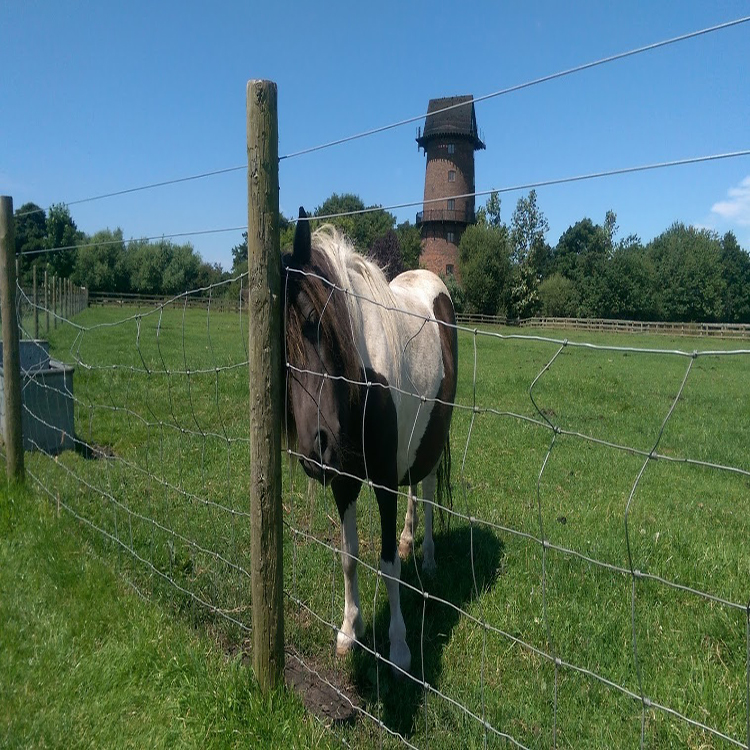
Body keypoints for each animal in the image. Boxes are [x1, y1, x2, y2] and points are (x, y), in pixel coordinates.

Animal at [282, 207, 458, 676]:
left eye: (315, 323)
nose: (316, 451)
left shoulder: (381, 483)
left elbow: (388, 563)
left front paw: (398, 648)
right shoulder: (344, 482)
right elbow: (349, 556)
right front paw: (349, 630)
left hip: (434, 438)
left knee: (426, 490)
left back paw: (429, 555)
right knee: (414, 488)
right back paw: (411, 539)